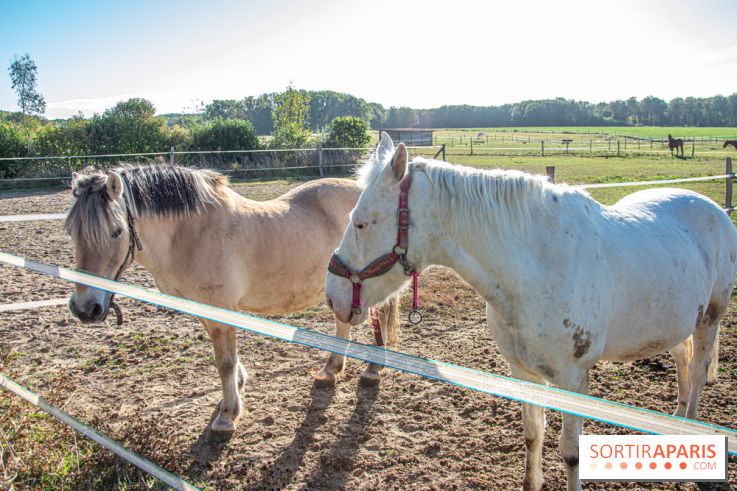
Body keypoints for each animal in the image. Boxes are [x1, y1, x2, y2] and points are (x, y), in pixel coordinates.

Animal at [65, 164, 400, 435]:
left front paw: (227, 415)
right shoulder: (206, 310)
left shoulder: (220, 308)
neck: (189, 235)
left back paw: (373, 369)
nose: (84, 308)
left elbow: (224, 362)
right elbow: (228, 360)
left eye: (116, 232)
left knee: (380, 316)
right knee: (344, 324)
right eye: (71, 231)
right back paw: (330, 370)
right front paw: (238, 385)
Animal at [325, 133, 737, 491]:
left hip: (710, 319)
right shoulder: (523, 372)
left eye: (361, 223)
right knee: (682, 360)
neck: (539, 264)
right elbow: (532, 434)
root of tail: (711, 207)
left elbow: (571, 453)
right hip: (678, 321)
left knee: (697, 372)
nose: (332, 296)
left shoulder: (573, 378)